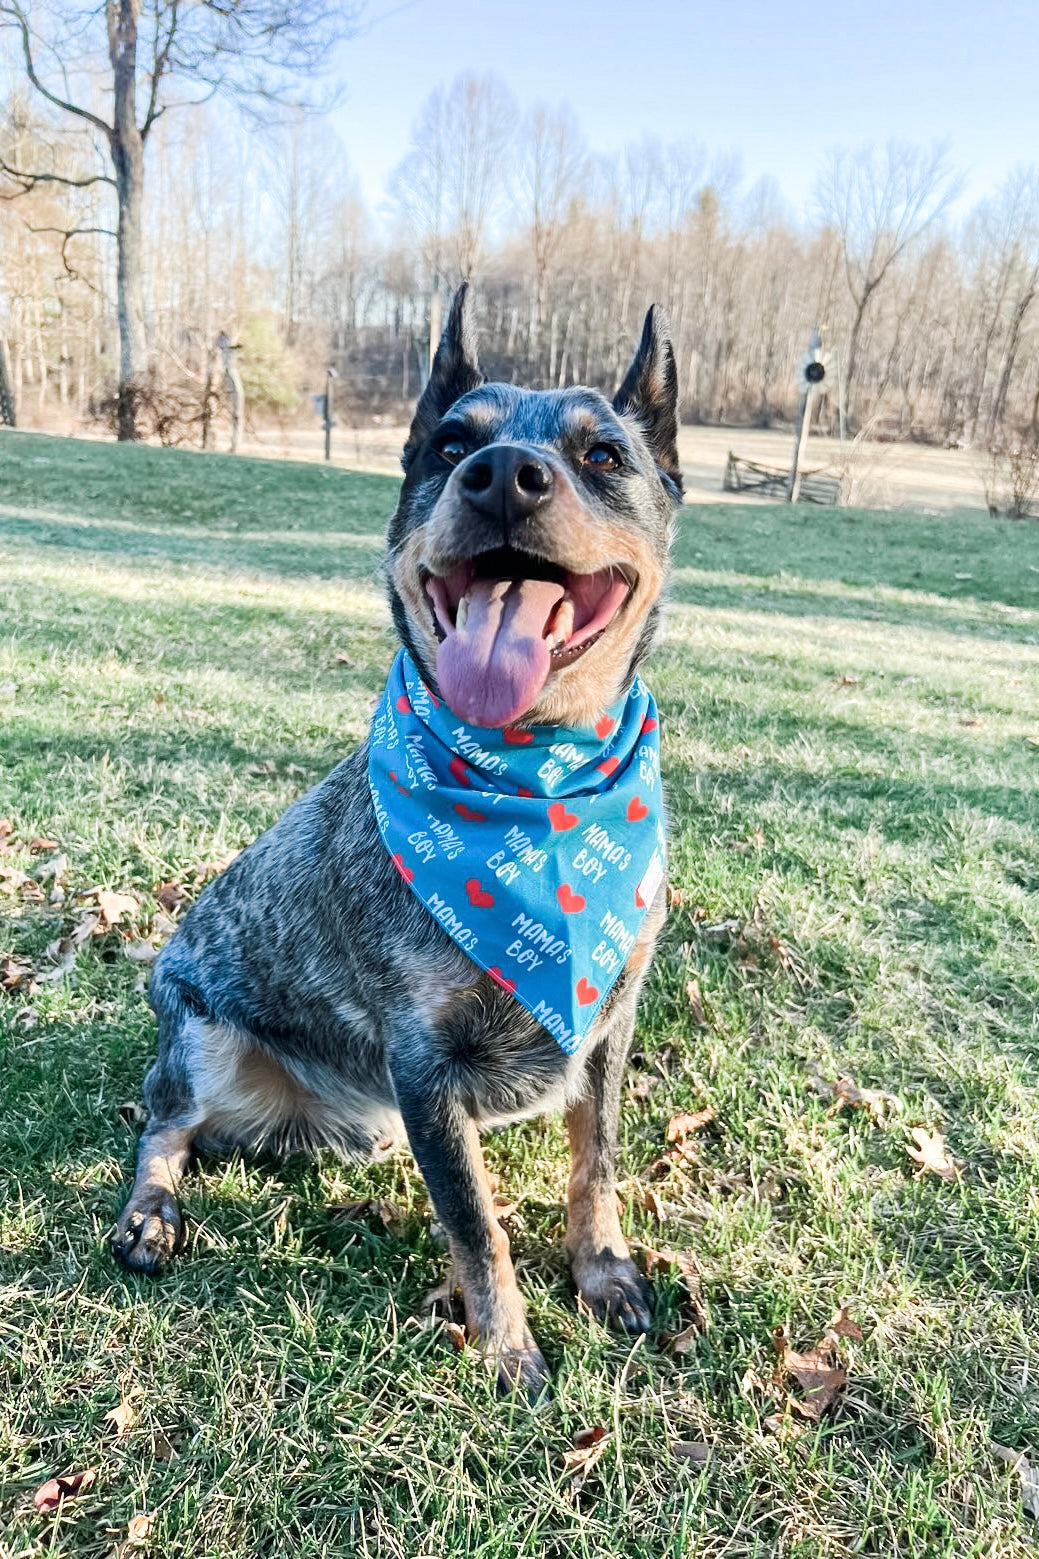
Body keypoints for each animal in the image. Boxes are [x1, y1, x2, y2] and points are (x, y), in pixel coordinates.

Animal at [115, 283, 680, 1403]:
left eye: (604, 454)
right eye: (451, 442)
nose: (501, 471)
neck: (535, 787)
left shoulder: (608, 1023)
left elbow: (594, 1163)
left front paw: (603, 1271)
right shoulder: (424, 1063)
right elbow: (476, 1223)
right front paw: (506, 1344)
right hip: (203, 1035)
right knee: (162, 1121)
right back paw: (150, 1212)